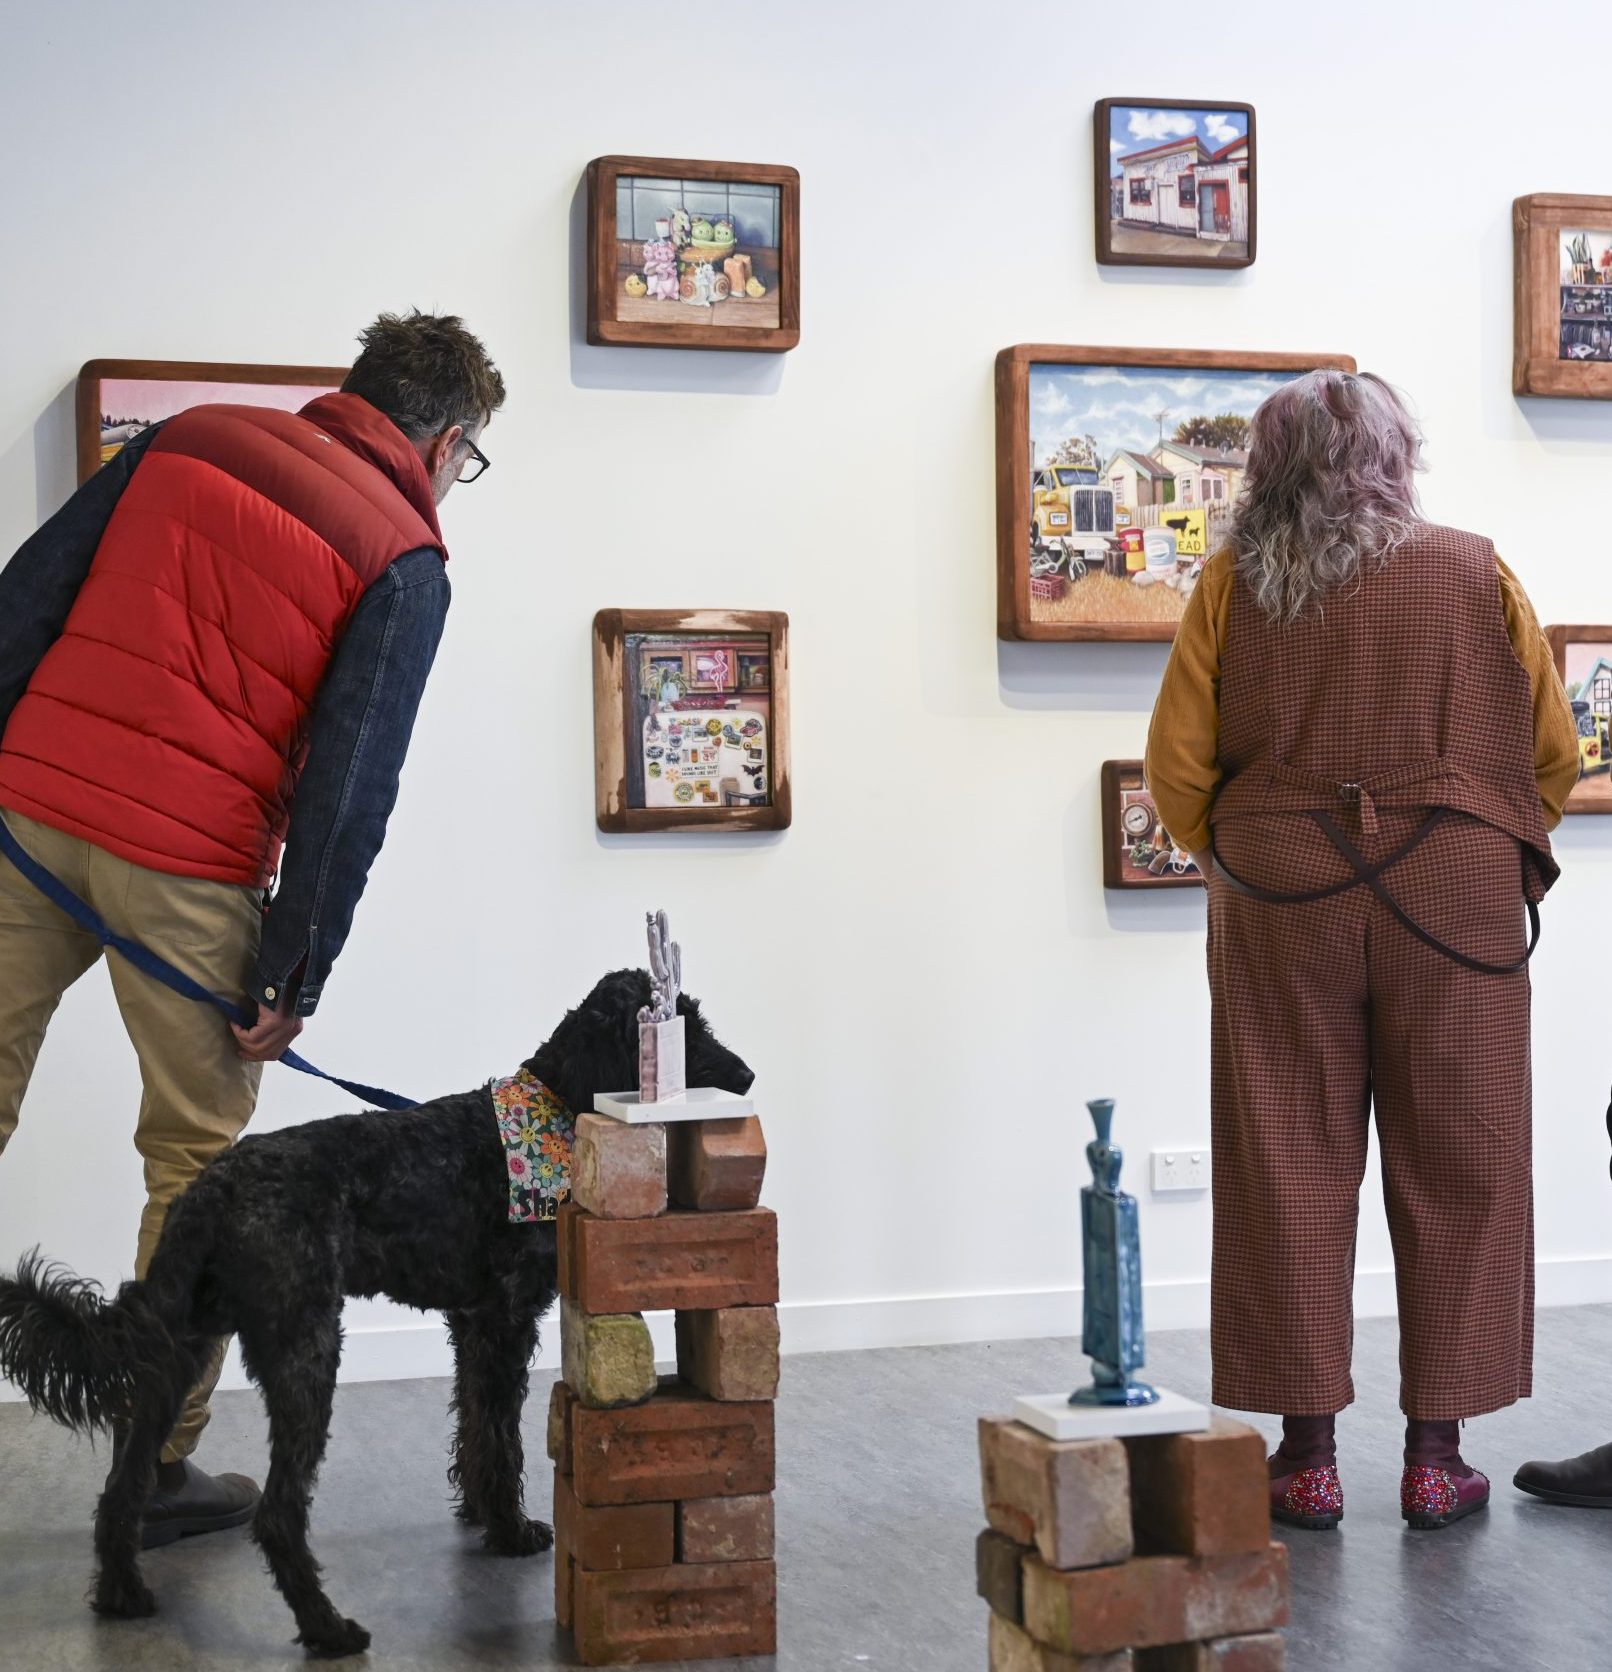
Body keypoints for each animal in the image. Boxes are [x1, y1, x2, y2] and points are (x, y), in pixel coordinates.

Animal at [0, 969, 752, 1658]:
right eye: (680, 1026)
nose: (745, 1075)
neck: (545, 1110)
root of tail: (210, 1193)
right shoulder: (506, 1323)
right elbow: (502, 1436)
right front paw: (510, 1530)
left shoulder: (472, 1326)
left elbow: (475, 1426)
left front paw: (478, 1514)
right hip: (305, 1353)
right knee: (277, 1514)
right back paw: (327, 1629)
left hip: (176, 1354)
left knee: (122, 1485)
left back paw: (122, 1594)